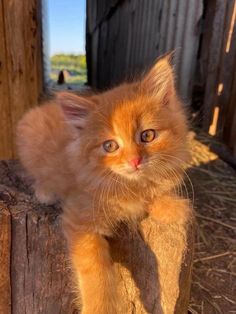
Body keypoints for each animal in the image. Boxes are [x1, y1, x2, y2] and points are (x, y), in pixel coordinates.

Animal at [16, 55, 191, 312]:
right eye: (110, 146)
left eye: (147, 135)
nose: (135, 161)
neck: (128, 186)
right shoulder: (79, 220)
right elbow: (95, 272)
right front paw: (100, 307)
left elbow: (156, 192)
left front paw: (173, 207)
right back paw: (45, 191)